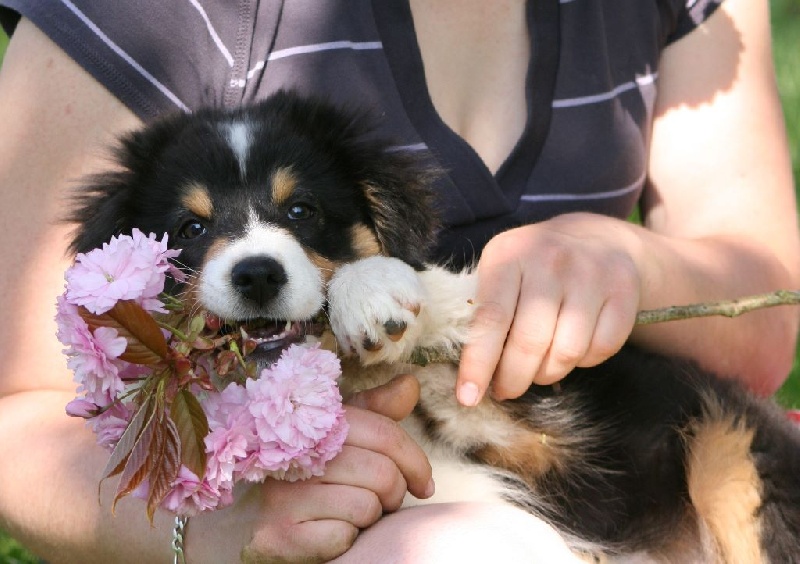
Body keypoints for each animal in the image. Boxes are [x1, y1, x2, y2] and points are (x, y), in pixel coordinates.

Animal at [70, 90, 800, 560]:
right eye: (191, 229)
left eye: (302, 210)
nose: (256, 275)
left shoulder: (564, 445)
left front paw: (375, 298)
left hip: (729, 455)